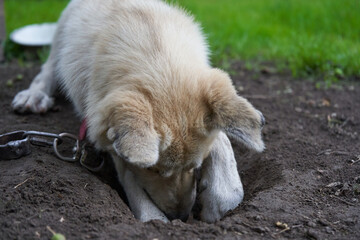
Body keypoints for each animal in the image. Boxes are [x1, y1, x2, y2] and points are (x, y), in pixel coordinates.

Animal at [11, 0, 264, 222]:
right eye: (152, 169)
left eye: (195, 167)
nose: (181, 217)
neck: (156, 58)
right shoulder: (114, 138)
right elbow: (130, 177)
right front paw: (154, 219)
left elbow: (222, 142)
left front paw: (220, 199)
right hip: (61, 33)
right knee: (48, 68)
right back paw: (34, 96)